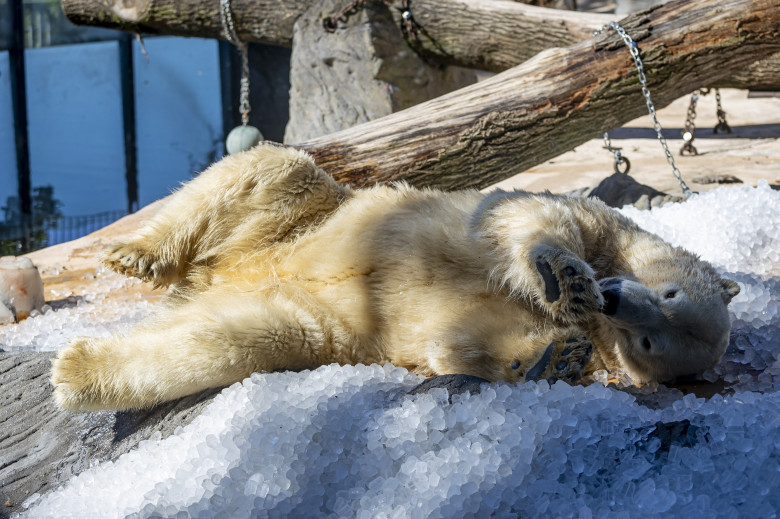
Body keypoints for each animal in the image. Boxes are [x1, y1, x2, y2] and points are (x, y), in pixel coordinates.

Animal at [51, 144, 740, 412]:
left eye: (651, 342)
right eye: (671, 294)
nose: (616, 301)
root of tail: (223, 273)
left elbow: (462, 335)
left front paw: (556, 355)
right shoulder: (597, 220)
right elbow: (524, 218)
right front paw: (564, 277)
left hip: (314, 321)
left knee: (238, 340)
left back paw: (79, 372)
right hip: (301, 217)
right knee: (269, 170)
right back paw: (137, 255)